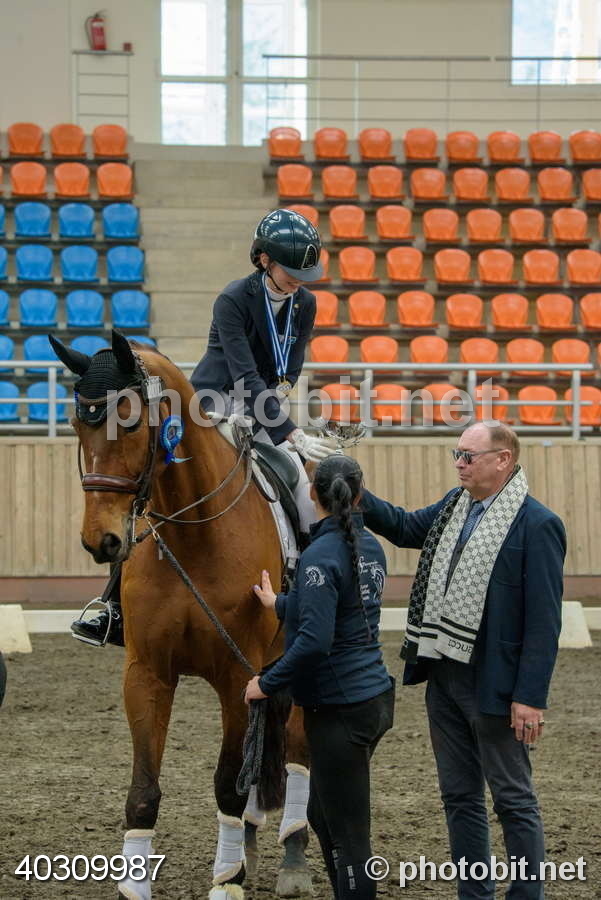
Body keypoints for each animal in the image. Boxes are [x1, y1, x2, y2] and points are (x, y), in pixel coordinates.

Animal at [49, 330, 313, 900]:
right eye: (79, 422)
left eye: (129, 422)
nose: (101, 541)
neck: (195, 532)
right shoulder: (147, 672)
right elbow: (144, 789)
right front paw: (134, 886)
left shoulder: (237, 676)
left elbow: (228, 783)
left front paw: (226, 881)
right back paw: (253, 846)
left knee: (299, 751)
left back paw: (293, 855)